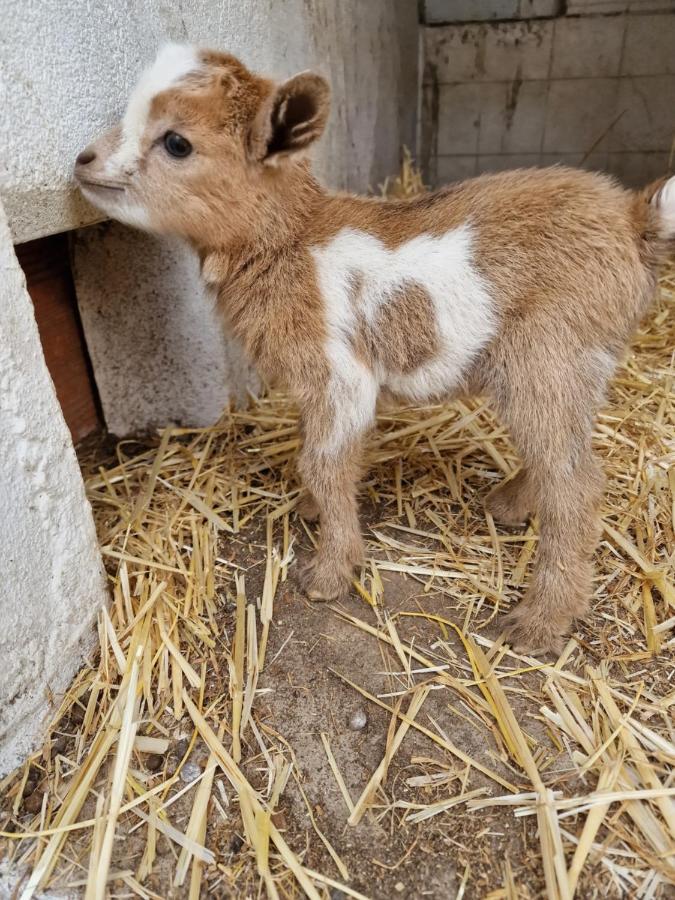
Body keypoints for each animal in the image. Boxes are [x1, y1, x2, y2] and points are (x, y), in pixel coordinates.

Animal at [75, 45, 675, 652]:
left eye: (177, 142)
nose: (83, 160)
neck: (291, 241)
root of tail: (634, 220)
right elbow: (318, 453)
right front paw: (315, 512)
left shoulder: (340, 374)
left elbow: (324, 462)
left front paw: (328, 573)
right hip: (583, 362)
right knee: (564, 452)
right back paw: (510, 506)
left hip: (546, 353)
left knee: (575, 483)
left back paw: (540, 621)